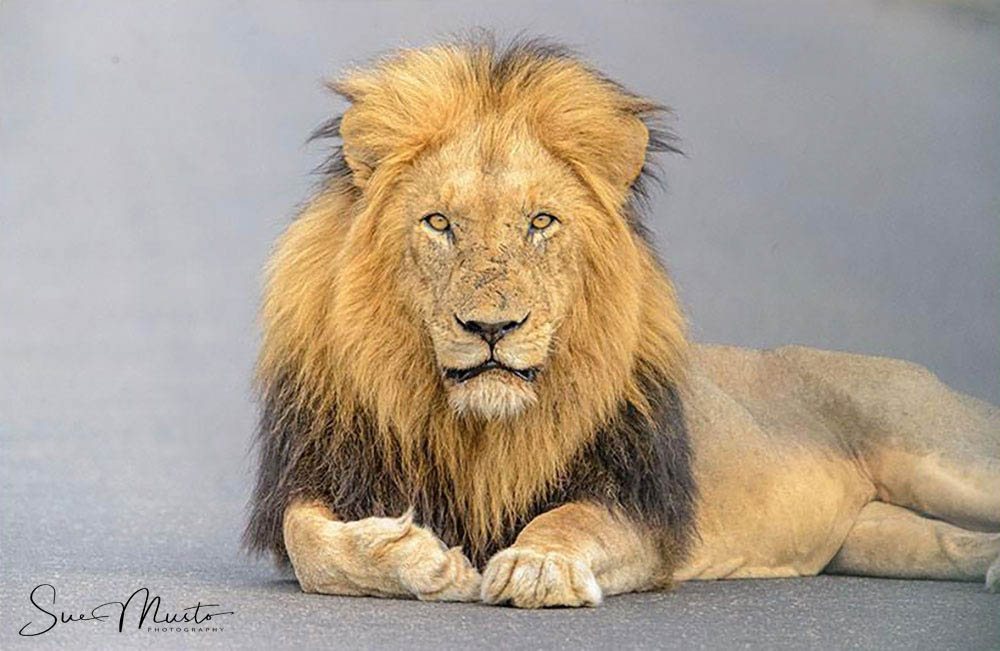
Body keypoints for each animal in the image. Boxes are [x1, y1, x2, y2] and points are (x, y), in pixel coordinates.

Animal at [245, 38, 1000, 607]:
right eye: (439, 223)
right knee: (954, 542)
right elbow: (309, 543)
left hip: (944, 454)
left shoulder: (639, 506)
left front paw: (537, 566)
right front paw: (422, 560)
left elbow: (570, 517)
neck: (479, 428)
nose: (492, 327)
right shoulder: (322, 471)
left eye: (540, 221)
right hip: (878, 534)